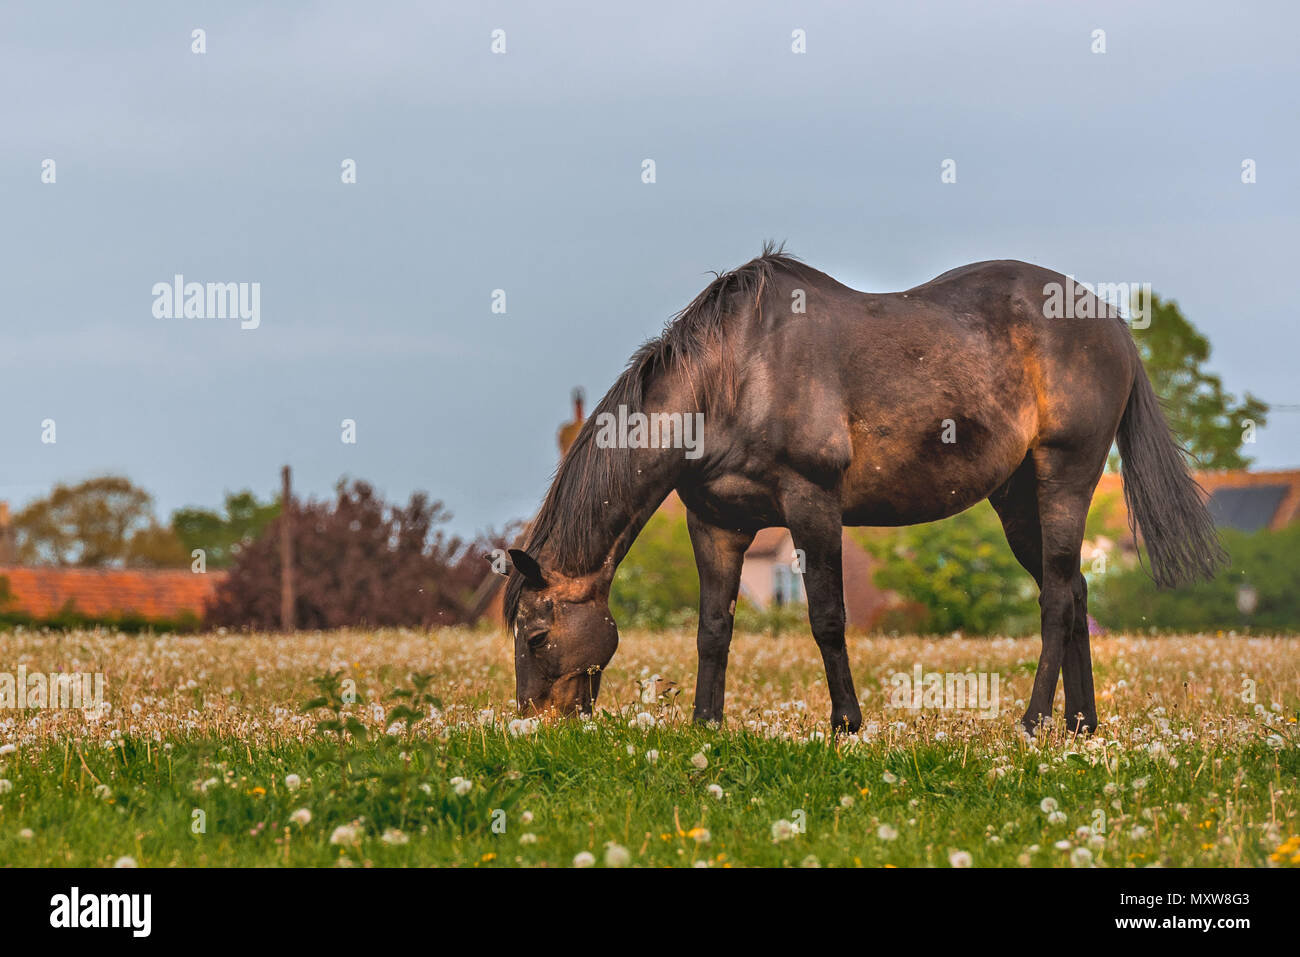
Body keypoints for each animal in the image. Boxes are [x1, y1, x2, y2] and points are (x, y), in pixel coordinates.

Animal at [501, 244, 1225, 735]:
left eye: (535, 636)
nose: (537, 725)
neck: (733, 376)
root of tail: (1109, 321)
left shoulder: (811, 505)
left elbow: (826, 617)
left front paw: (846, 721)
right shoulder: (716, 523)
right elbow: (713, 627)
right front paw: (706, 722)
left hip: (1063, 478)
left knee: (1053, 598)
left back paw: (1032, 719)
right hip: (1018, 500)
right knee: (1073, 591)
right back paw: (1079, 723)